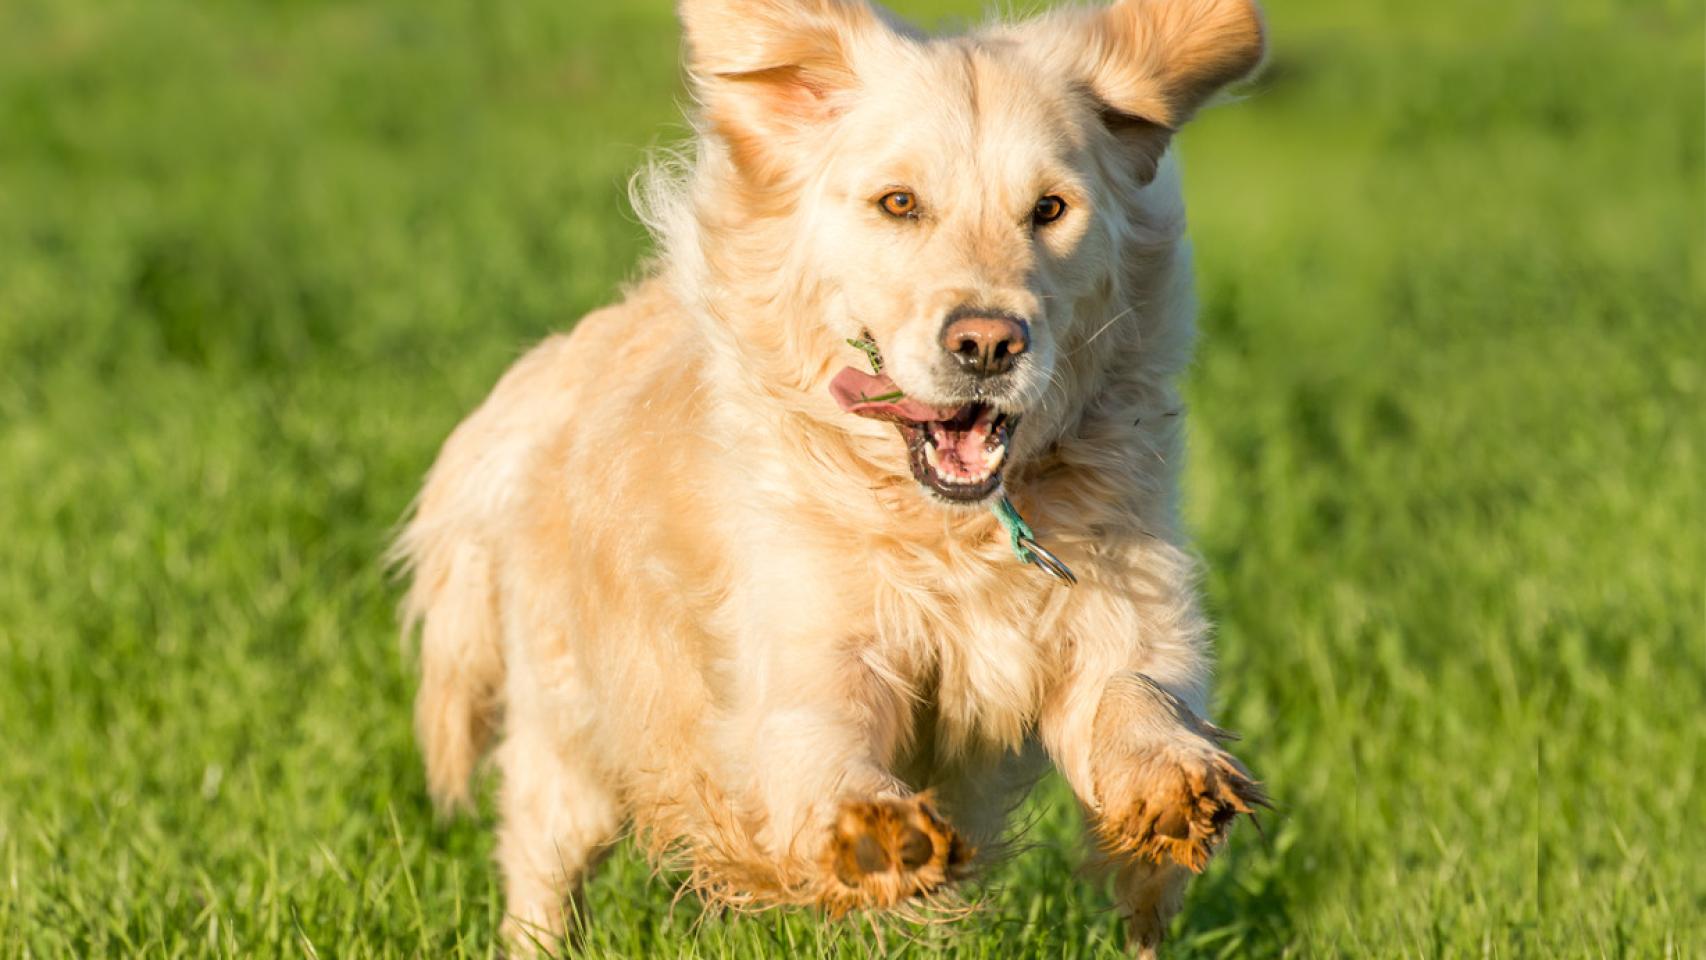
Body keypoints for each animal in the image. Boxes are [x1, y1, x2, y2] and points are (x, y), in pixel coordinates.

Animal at [392, 0, 1262, 954]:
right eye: (899, 203)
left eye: (1050, 209)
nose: (988, 343)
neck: (951, 529)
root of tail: (542, 372)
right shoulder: (803, 654)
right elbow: (828, 743)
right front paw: (879, 830)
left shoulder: (1122, 609)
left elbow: (1133, 690)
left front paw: (1169, 778)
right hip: (569, 737)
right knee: (541, 870)